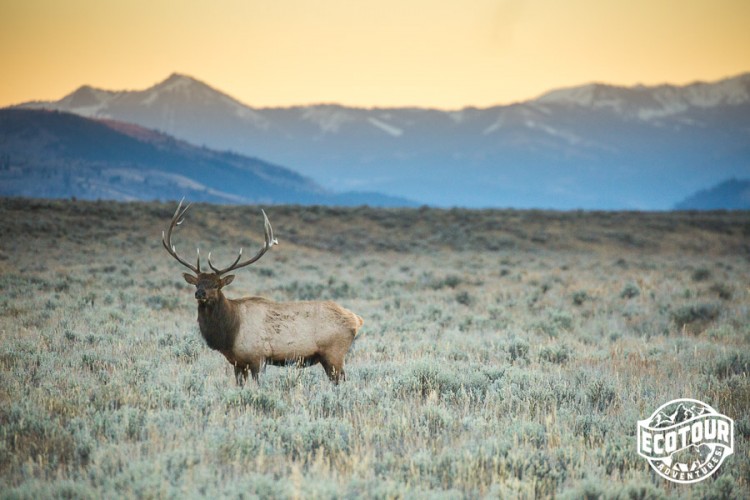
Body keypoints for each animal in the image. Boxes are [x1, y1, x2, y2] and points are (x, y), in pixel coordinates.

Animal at [163, 201, 366, 384]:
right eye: (197, 284)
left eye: (216, 285)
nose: (200, 294)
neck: (229, 334)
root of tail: (357, 319)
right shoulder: (237, 362)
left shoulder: (257, 357)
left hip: (334, 353)